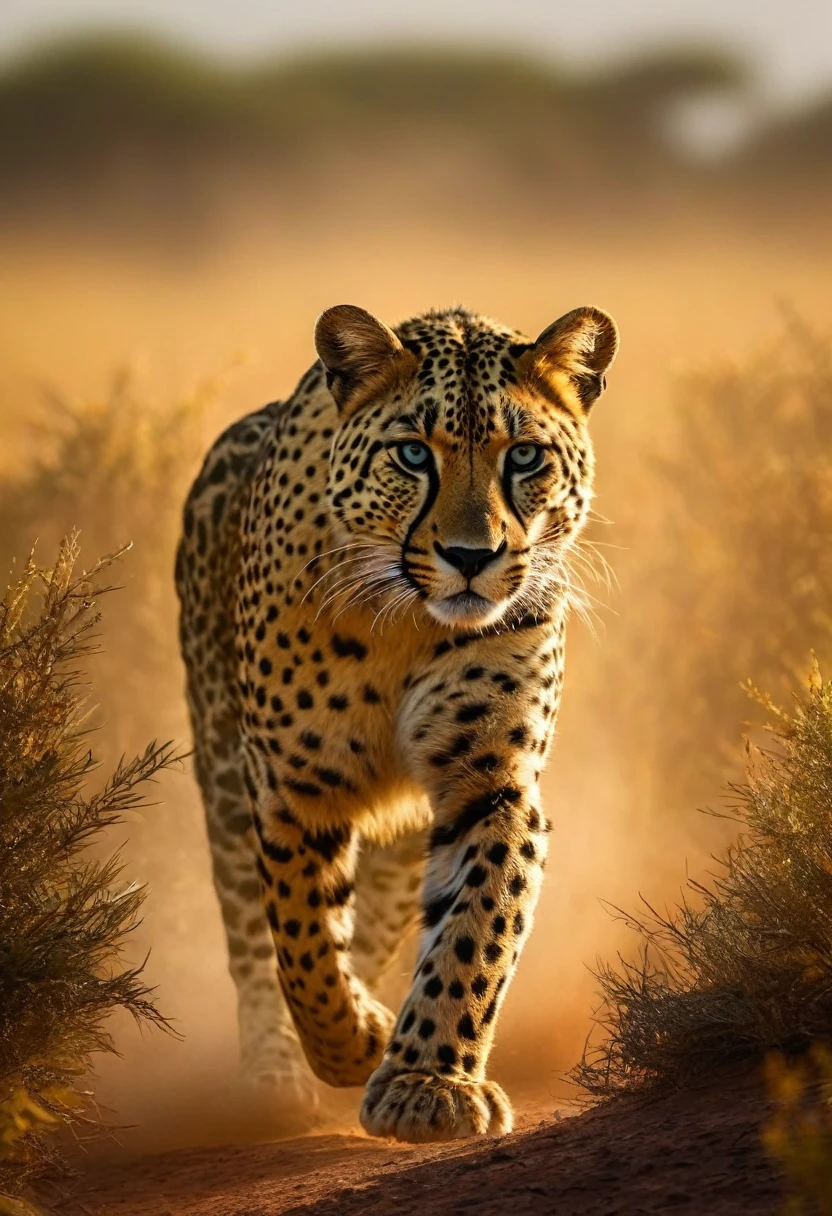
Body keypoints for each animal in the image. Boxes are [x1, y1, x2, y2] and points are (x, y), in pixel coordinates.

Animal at [175, 301, 617, 1138]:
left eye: (525, 458)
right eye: (413, 454)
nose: (472, 557)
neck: (405, 622)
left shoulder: (490, 783)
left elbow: (475, 932)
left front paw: (425, 1081)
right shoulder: (293, 786)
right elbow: (301, 939)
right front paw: (348, 1043)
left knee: (381, 917)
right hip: (219, 766)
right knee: (250, 934)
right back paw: (275, 1071)